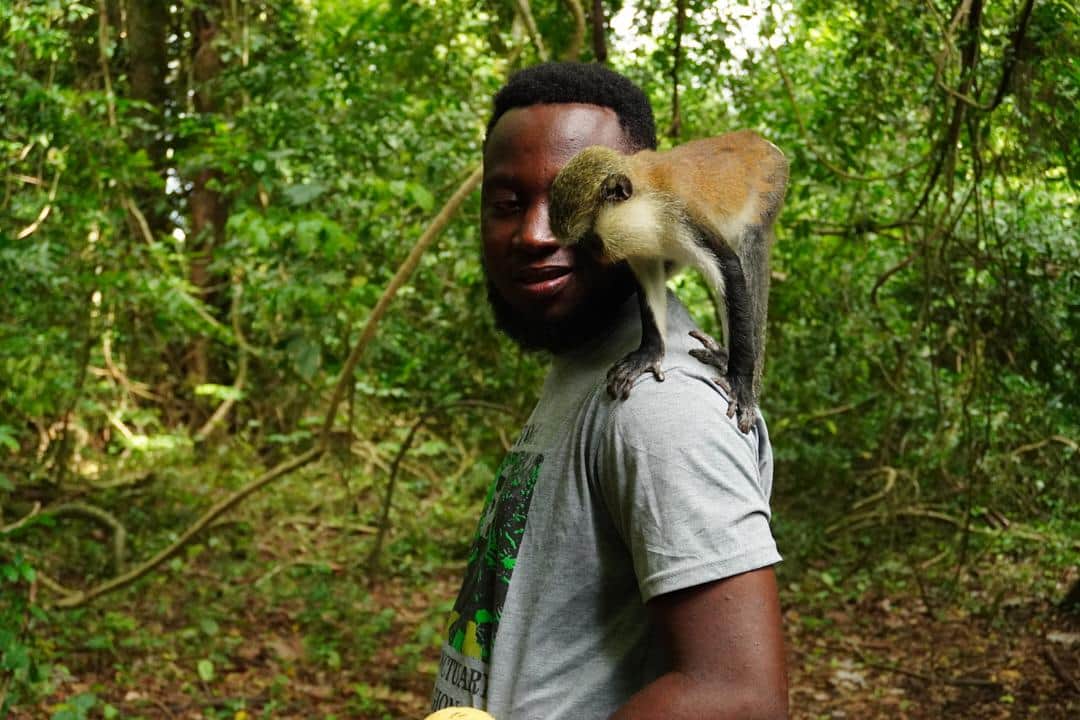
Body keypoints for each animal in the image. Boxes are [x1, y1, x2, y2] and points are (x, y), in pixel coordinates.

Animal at [548, 130, 788, 433]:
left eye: (589, 242)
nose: (594, 259)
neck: (648, 204)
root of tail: (758, 139)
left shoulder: (684, 216)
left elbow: (731, 269)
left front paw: (740, 387)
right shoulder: (641, 246)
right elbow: (648, 277)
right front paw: (649, 353)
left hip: (770, 189)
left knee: (750, 249)